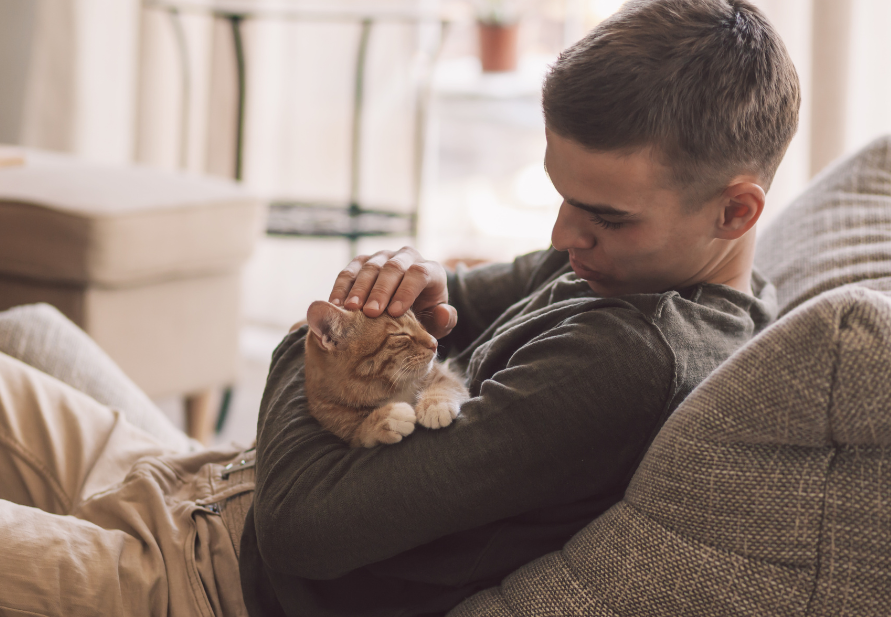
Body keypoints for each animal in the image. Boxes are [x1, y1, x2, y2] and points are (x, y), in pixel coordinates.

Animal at [304, 300, 470, 446]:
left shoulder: (444, 374)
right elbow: (360, 434)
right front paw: (386, 419)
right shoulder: (348, 435)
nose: (435, 342)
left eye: (419, 323)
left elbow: (445, 384)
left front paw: (434, 405)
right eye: (400, 334)